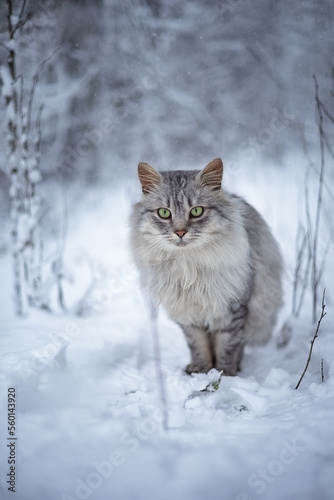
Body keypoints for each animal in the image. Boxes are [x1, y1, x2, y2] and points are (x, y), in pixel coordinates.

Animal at [129, 158, 284, 374]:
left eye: (196, 211)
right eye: (164, 213)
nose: (180, 232)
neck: (188, 265)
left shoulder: (232, 309)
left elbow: (227, 347)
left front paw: (223, 373)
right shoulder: (188, 314)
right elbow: (198, 345)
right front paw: (201, 369)